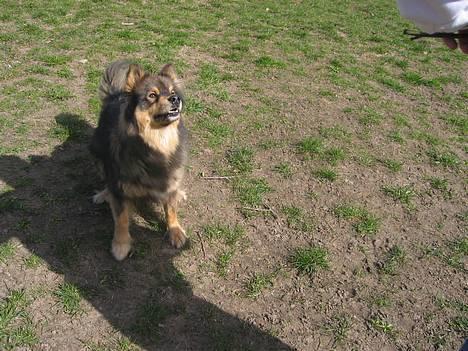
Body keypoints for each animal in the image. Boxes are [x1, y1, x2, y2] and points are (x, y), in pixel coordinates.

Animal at [89, 60, 188, 262]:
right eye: (152, 95)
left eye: (172, 92)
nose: (175, 99)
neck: (156, 144)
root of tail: (115, 95)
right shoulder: (119, 188)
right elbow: (121, 220)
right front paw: (120, 245)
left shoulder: (170, 178)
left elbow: (171, 208)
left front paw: (175, 230)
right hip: (98, 155)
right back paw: (103, 194)